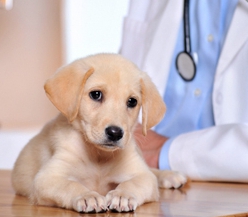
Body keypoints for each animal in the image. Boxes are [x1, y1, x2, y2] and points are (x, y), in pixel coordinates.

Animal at [11, 53, 186, 213]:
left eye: (132, 101)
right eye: (96, 94)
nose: (115, 133)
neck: (98, 157)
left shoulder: (142, 176)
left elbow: (133, 182)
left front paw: (122, 195)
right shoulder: (47, 178)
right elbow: (71, 184)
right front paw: (88, 196)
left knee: (152, 171)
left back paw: (168, 175)